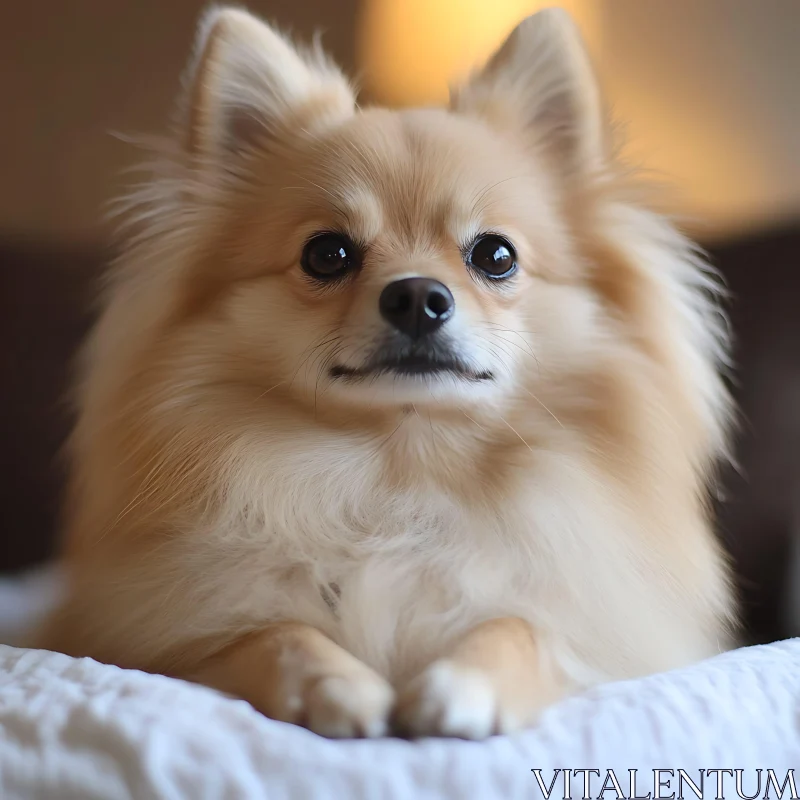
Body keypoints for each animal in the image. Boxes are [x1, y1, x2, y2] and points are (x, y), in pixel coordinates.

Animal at [37, 6, 736, 740]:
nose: (417, 296)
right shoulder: (148, 638)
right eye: (327, 254)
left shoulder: (603, 633)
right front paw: (333, 683)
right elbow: (267, 633)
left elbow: (523, 626)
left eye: (495, 256)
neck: (401, 474)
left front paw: (464, 682)